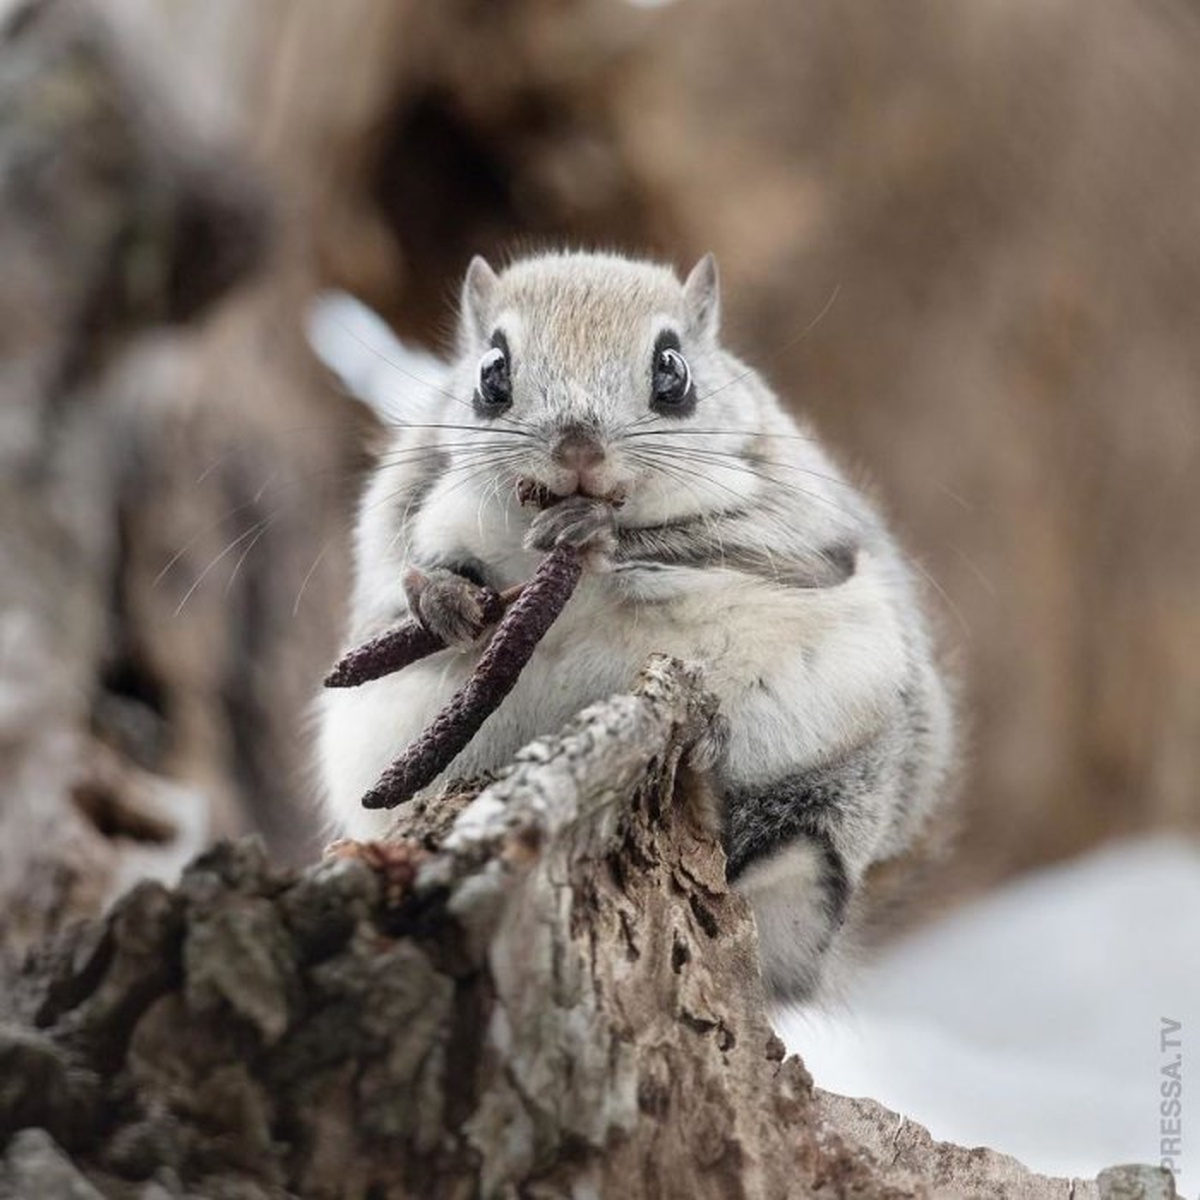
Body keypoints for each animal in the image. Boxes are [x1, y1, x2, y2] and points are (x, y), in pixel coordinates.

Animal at [319, 253, 955, 1003]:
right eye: (491, 373)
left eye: (673, 370)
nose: (578, 448)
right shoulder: (400, 502)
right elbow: (396, 581)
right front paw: (442, 599)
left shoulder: (802, 526)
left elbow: (726, 546)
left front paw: (595, 534)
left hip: (841, 765)